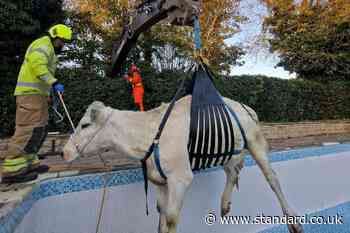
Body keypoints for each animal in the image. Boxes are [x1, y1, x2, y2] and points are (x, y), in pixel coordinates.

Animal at [63, 95, 304, 233]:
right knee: (233, 170)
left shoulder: (180, 178)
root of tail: (243, 105)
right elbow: (160, 216)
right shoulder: (158, 180)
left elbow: (170, 218)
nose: (64, 152)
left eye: (84, 125)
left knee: (271, 177)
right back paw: (224, 205)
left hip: (255, 140)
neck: (148, 135)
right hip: (224, 149)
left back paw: (293, 222)